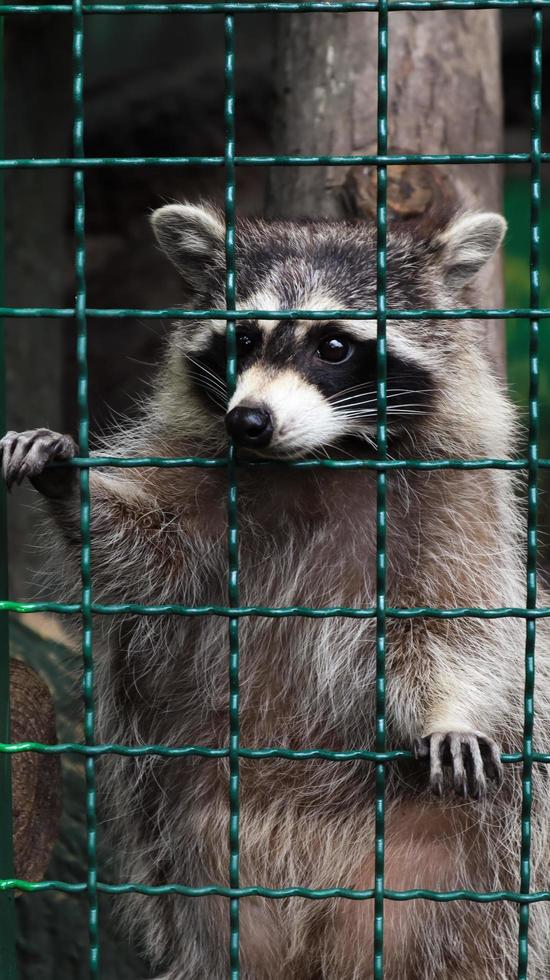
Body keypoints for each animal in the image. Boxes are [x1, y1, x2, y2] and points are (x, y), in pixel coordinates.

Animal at [4, 201, 550, 980]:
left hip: (470, 876)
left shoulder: (459, 498)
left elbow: (461, 619)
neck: (318, 459)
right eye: (244, 338)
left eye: (334, 345)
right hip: (200, 860)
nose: (249, 420)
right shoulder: (199, 478)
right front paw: (71, 485)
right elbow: (145, 553)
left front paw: (450, 710)